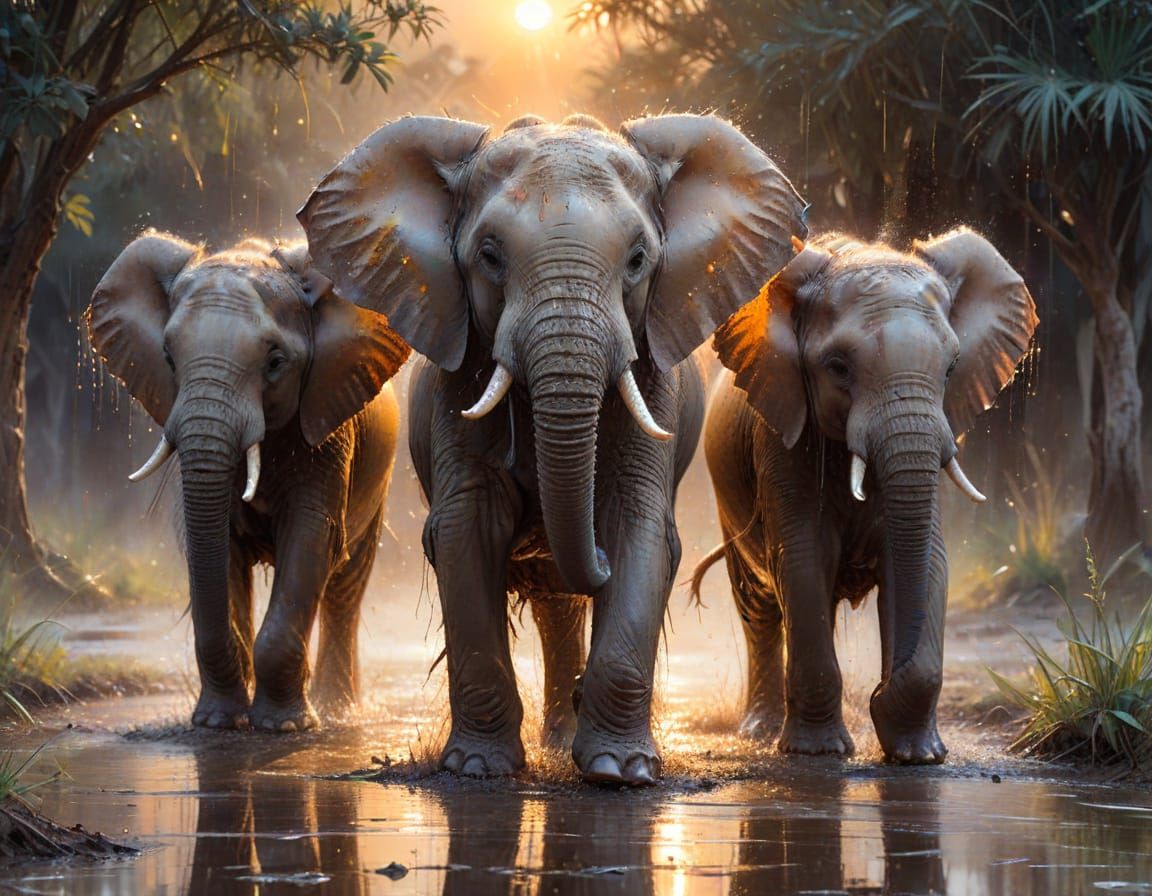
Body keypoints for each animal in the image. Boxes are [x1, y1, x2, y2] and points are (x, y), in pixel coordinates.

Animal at [86, 232, 409, 731]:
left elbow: (312, 535)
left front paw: (285, 727)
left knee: (346, 585)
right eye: (168, 358)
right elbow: (215, 544)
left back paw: (338, 711)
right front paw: (218, 722)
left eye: (275, 362)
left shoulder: (329, 429)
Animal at [298, 113, 807, 785]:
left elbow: (637, 526)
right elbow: (467, 527)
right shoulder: (461, 378)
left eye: (638, 260)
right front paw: (477, 769)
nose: (595, 559)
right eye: (489, 256)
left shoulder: (653, 380)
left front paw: (620, 772)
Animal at [693, 229, 1037, 763]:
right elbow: (803, 558)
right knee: (759, 602)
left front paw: (918, 755)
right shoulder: (784, 437)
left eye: (951, 368)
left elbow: (925, 559)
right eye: (838, 367)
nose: (876, 694)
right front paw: (818, 753)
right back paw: (760, 731)